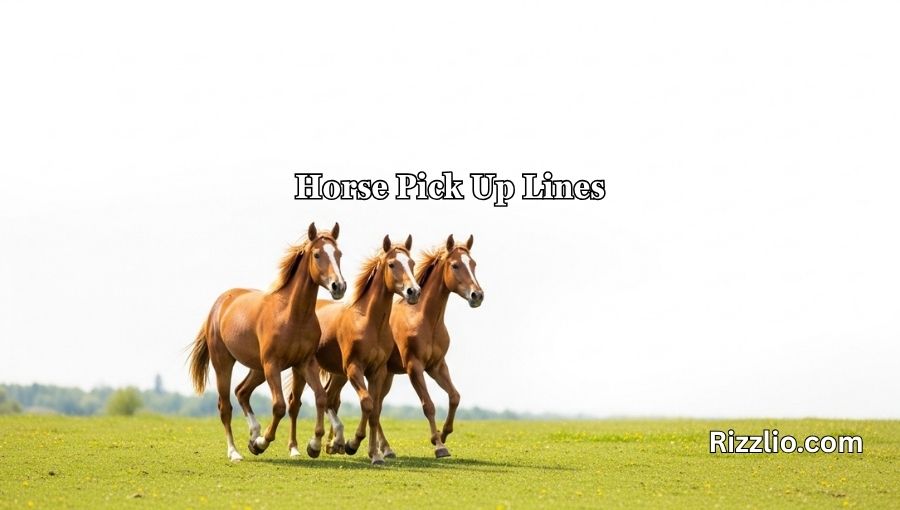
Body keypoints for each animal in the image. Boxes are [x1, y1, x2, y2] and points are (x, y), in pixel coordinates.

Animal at [188, 222, 347, 462]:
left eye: (339, 254)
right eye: (317, 254)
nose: (339, 286)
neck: (293, 315)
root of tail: (219, 303)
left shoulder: (305, 363)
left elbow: (320, 398)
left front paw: (314, 445)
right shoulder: (273, 364)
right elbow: (279, 406)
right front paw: (261, 443)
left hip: (258, 368)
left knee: (242, 392)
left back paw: (253, 433)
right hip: (224, 363)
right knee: (225, 407)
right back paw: (235, 452)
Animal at [302, 234, 421, 465]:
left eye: (412, 263)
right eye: (392, 264)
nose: (414, 291)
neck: (369, 321)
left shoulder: (378, 371)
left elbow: (374, 411)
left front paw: (375, 455)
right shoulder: (354, 368)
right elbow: (366, 402)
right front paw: (353, 444)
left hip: (337, 373)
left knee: (329, 397)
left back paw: (332, 444)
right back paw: (314, 445)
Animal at [322, 234, 483, 459]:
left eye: (473, 264)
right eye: (455, 265)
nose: (477, 295)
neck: (424, 319)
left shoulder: (437, 366)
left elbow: (454, 397)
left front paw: (443, 434)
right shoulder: (414, 367)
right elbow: (428, 405)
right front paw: (439, 445)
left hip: (376, 374)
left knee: (356, 402)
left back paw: (360, 447)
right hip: (347, 371)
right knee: (335, 398)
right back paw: (342, 444)